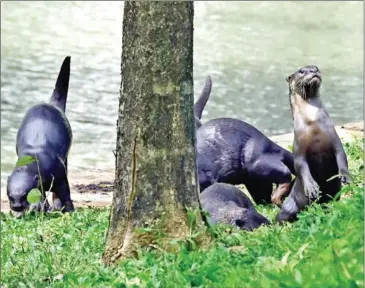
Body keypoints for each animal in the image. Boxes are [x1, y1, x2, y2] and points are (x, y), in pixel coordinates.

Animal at [6, 56, 74, 217]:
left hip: (65, 157)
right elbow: (40, 196)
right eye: (10, 196)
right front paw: (40, 208)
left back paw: (57, 206)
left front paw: (69, 210)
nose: (17, 207)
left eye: (24, 195)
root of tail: (51, 104)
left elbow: (65, 193)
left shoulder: (60, 176)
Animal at [276, 65, 350, 223]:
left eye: (316, 67)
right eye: (301, 71)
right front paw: (311, 187)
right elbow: (300, 165)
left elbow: (341, 155)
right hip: (289, 205)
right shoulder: (298, 148)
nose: (313, 70)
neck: (313, 124)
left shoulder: (335, 139)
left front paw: (345, 176)